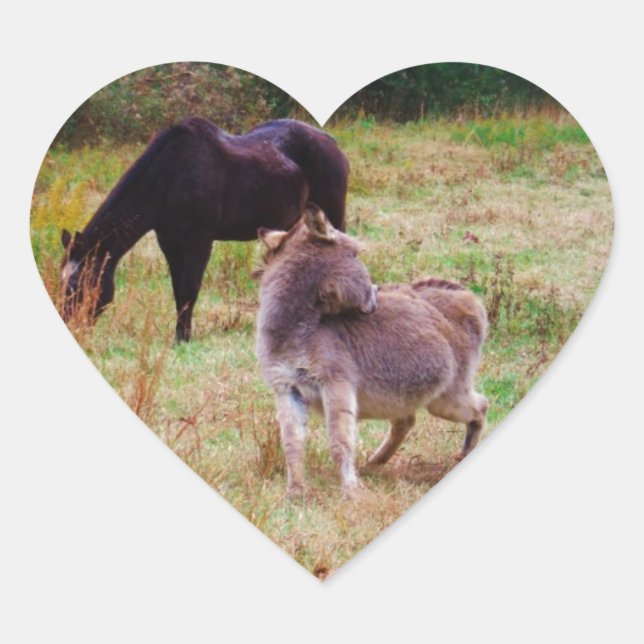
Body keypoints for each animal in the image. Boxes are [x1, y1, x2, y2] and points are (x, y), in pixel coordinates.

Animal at [60, 117, 350, 342]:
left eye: (78, 285)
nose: (70, 325)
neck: (171, 175)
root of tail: (331, 142)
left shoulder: (199, 242)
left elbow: (189, 289)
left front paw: (183, 339)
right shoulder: (169, 242)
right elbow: (178, 291)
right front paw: (181, 335)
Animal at [255, 205, 488, 497]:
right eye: (355, 255)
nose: (375, 295)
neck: (297, 331)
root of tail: (467, 295)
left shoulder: (336, 384)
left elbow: (339, 441)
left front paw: (351, 492)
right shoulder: (287, 388)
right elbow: (292, 443)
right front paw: (296, 492)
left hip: (446, 397)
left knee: (480, 407)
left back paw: (463, 457)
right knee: (406, 421)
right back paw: (373, 465)